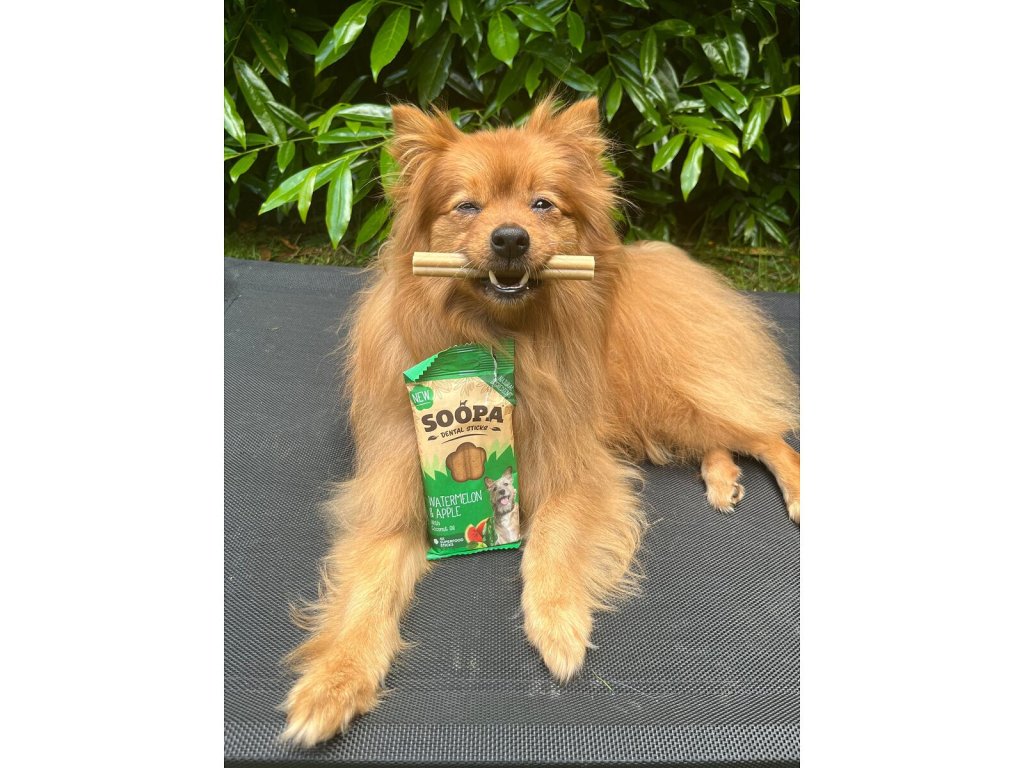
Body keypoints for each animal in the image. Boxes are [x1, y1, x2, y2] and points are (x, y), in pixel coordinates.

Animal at [282, 96, 799, 746]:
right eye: (468, 206)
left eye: (542, 204)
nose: (510, 238)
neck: (497, 340)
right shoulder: (393, 494)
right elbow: (366, 593)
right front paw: (334, 682)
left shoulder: (574, 468)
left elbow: (550, 541)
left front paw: (557, 625)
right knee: (721, 440)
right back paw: (722, 479)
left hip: (665, 397)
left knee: (768, 434)